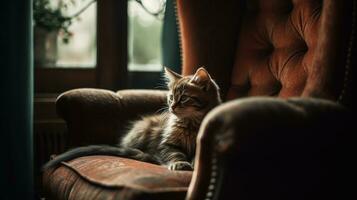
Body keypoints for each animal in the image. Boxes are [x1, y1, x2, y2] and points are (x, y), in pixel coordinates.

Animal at [43, 67, 221, 170]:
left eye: (183, 98)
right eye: (171, 98)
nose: (172, 107)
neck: (190, 124)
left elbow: (198, 155)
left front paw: (193, 162)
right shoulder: (167, 143)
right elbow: (174, 154)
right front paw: (180, 163)